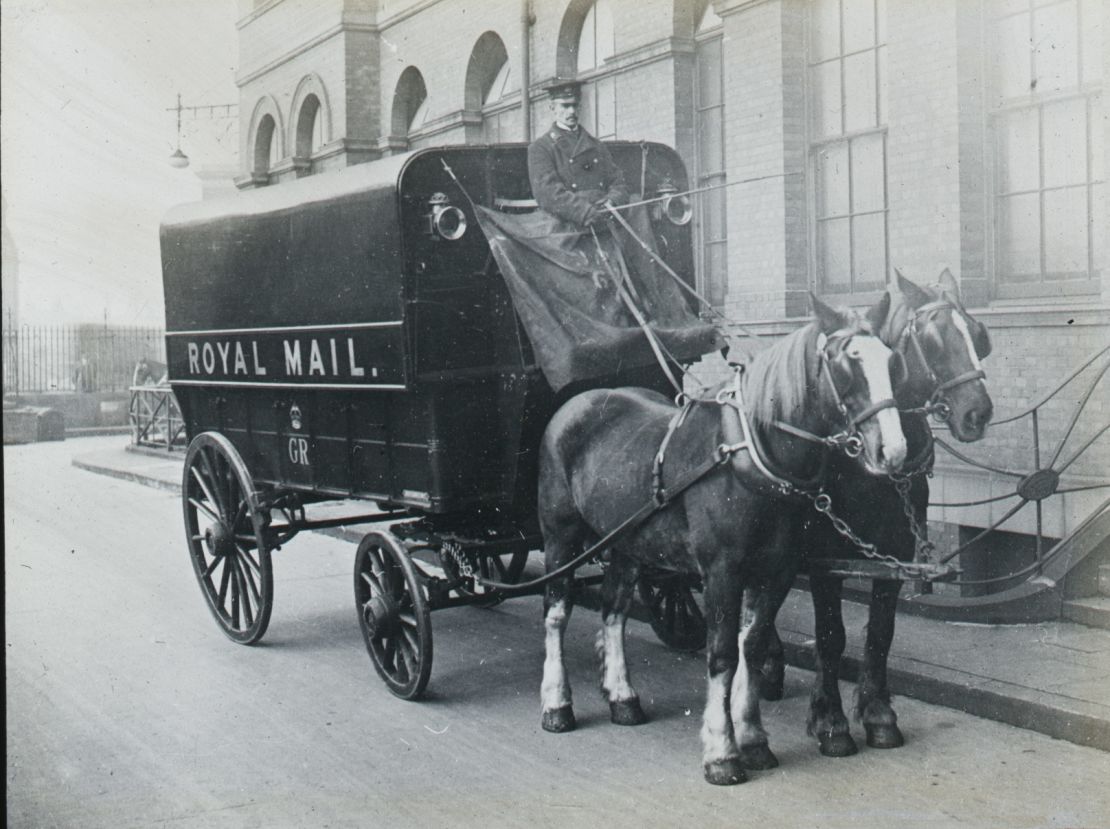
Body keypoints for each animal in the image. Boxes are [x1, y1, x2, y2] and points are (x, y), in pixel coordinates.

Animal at [537, 297, 910, 785]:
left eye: (891, 361)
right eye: (846, 363)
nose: (894, 452)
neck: (749, 455)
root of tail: (574, 405)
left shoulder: (775, 571)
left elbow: (751, 649)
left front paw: (752, 740)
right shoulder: (722, 572)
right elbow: (721, 656)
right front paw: (721, 752)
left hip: (627, 542)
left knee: (613, 609)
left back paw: (623, 698)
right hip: (559, 536)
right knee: (556, 613)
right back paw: (556, 704)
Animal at [759, 270, 994, 759]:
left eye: (978, 334)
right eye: (933, 340)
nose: (977, 413)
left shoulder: (897, 550)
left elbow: (881, 632)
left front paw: (878, 714)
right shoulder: (826, 555)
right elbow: (831, 636)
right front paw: (830, 722)